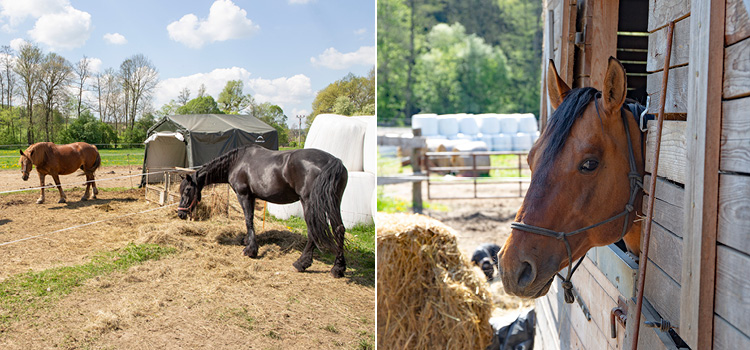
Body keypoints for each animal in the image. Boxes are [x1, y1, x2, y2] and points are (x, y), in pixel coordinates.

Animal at [177, 144, 350, 278]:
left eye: (187, 190)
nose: (180, 213)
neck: (236, 162)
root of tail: (333, 161)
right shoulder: (252, 197)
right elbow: (250, 219)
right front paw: (247, 241)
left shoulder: (244, 195)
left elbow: (248, 219)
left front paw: (251, 250)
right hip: (332, 202)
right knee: (339, 228)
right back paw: (338, 268)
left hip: (309, 203)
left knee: (314, 230)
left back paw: (301, 263)